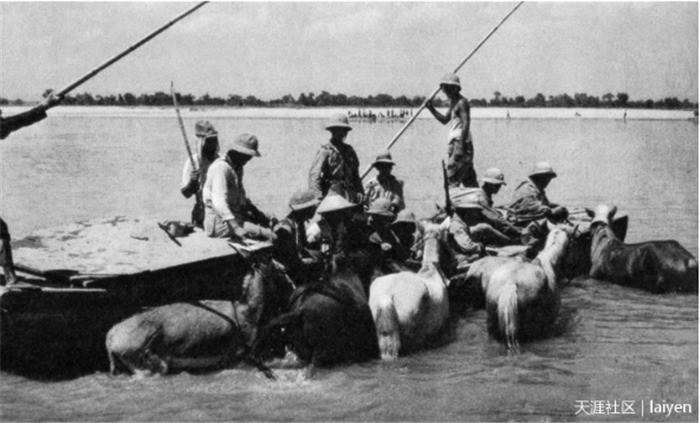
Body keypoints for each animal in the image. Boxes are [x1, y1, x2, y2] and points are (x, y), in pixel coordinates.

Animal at [105, 254, 294, 377]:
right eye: (282, 270)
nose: (293, 286)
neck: (245, 311)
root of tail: (111, 336)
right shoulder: (240, 359)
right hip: (149, 363)